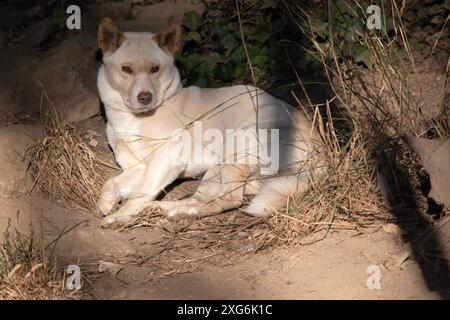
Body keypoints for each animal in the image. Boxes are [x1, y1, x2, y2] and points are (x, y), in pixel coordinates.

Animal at [96, 18, 326, 228]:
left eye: (155, 69)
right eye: (126, 69)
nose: (145, 97)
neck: (133, 118)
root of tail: (320, 152)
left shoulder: (165, 160)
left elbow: (140, 193)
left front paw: (119, 216)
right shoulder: (138, 167)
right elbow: (110, 182)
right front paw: (107, 202)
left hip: (238, 145)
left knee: (229, 200)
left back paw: (181, 213)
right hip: (217, 171)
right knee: (208, 197)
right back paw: (166, 208)